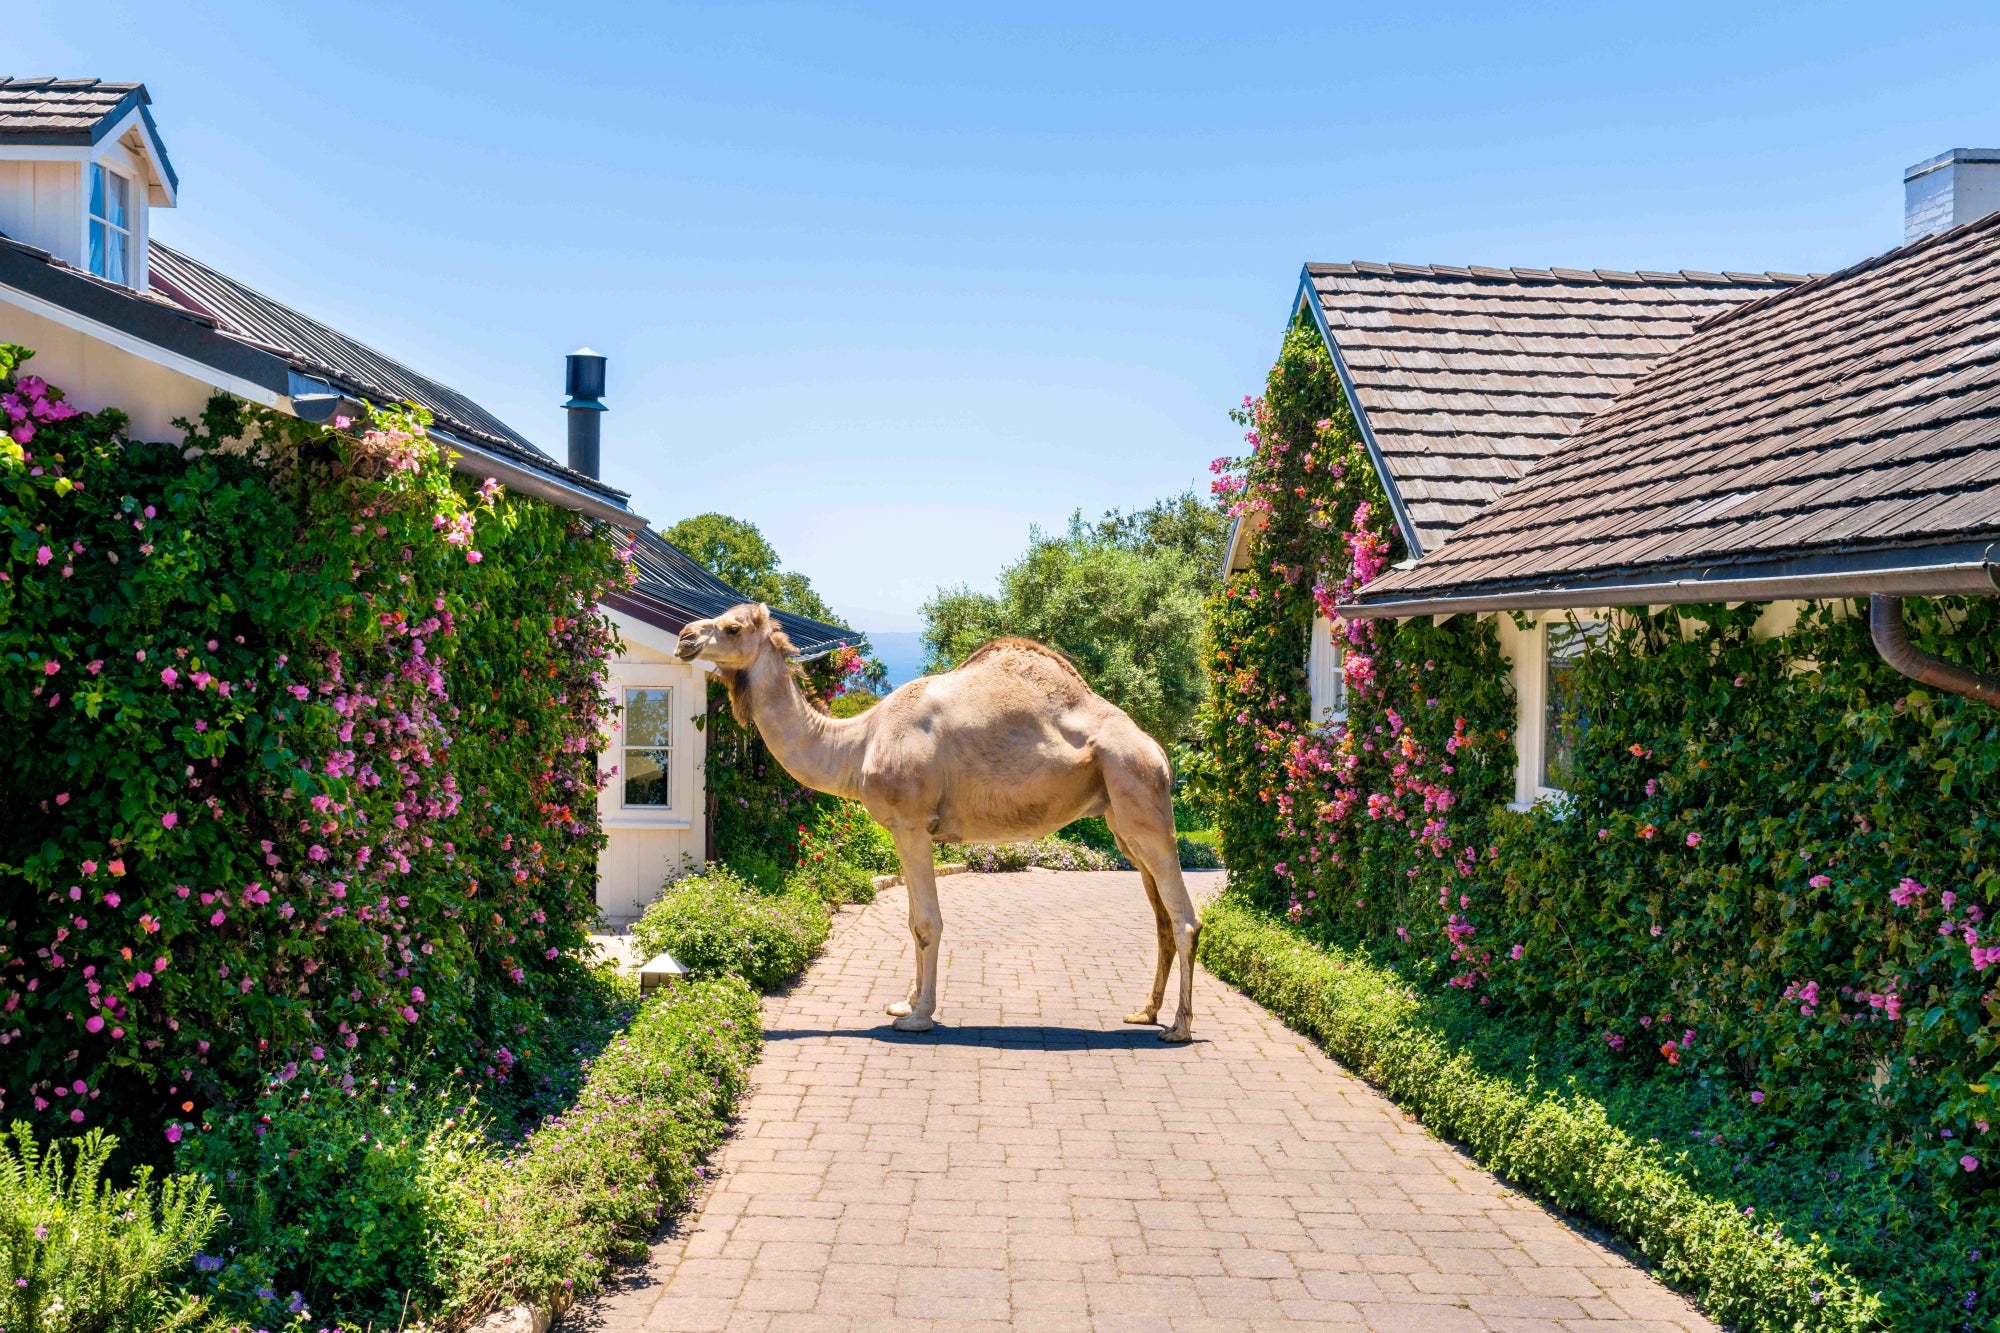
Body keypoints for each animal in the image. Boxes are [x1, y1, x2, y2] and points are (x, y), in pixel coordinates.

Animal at [672, 600, 1200, 1040]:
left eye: (733, 627)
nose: (684, 637)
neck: (858, 744)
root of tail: (1158, 752)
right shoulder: (904, 831)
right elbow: (911, 921)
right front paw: (904, 1003)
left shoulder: (911, 825)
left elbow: (927, 922)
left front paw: (920, 1016)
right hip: (1121, 823)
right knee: (1161, 917)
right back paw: (1145, 1012)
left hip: (1143, 803)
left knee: (1184, 918)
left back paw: (1178, 1027)